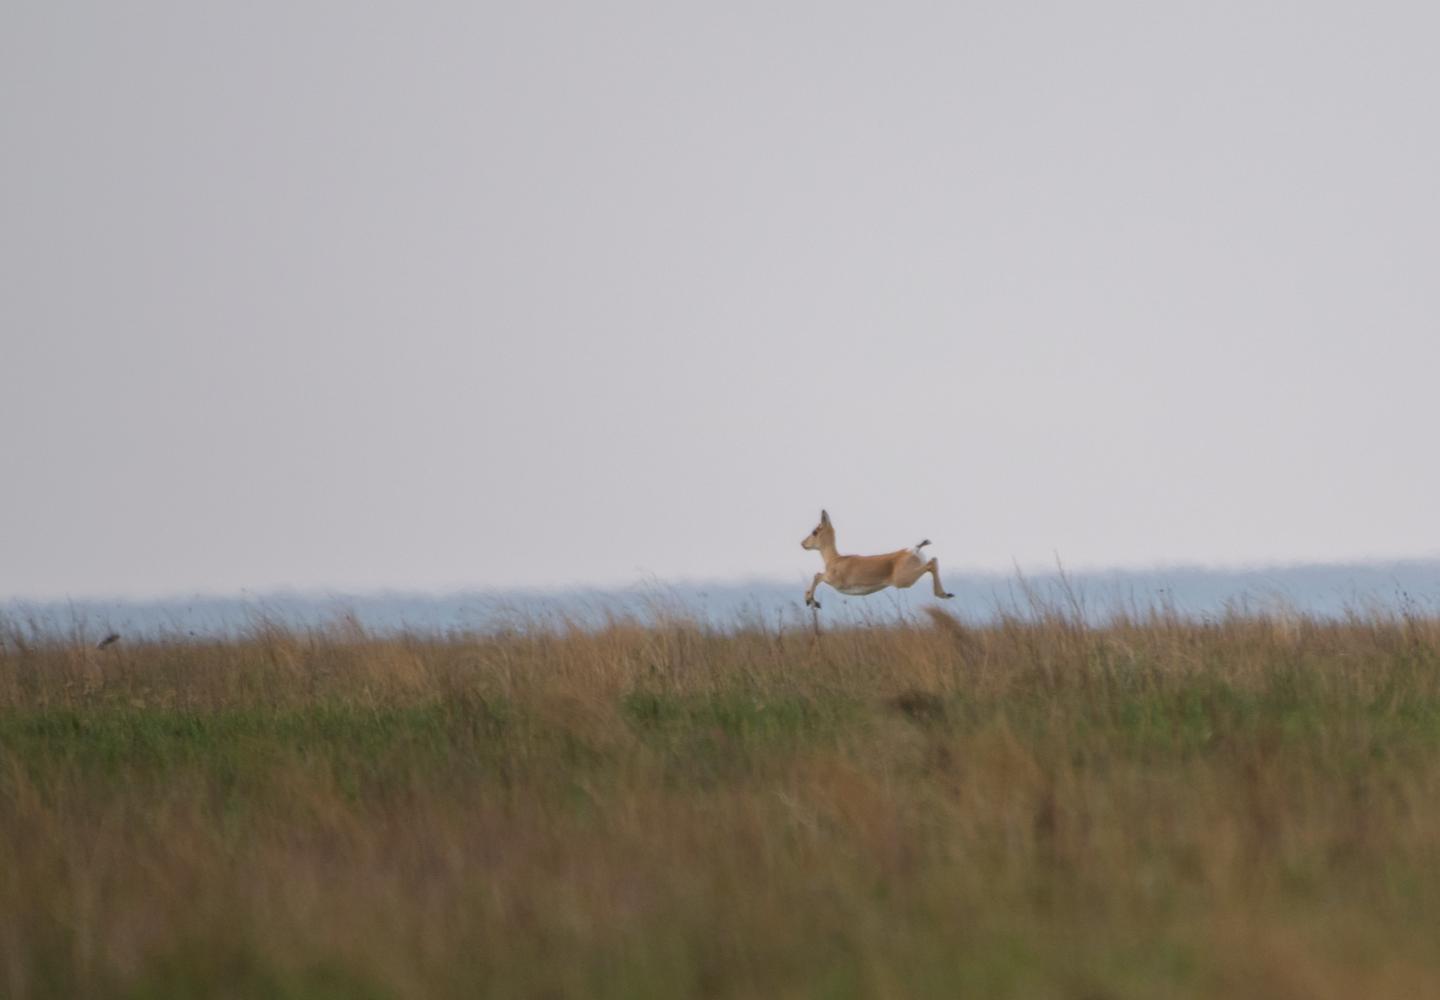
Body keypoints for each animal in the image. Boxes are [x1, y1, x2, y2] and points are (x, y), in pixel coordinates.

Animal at [800, 509, 954, 609]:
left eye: (815, 531)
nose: (803, 543)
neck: (834, 560)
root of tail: (913, 550)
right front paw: (812, 601)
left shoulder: (832, 580)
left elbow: (817, 576)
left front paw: (812, 601)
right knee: (934, 559)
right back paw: (947, 594)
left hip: (903, 580)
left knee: (931, 564)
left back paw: (943, 594)